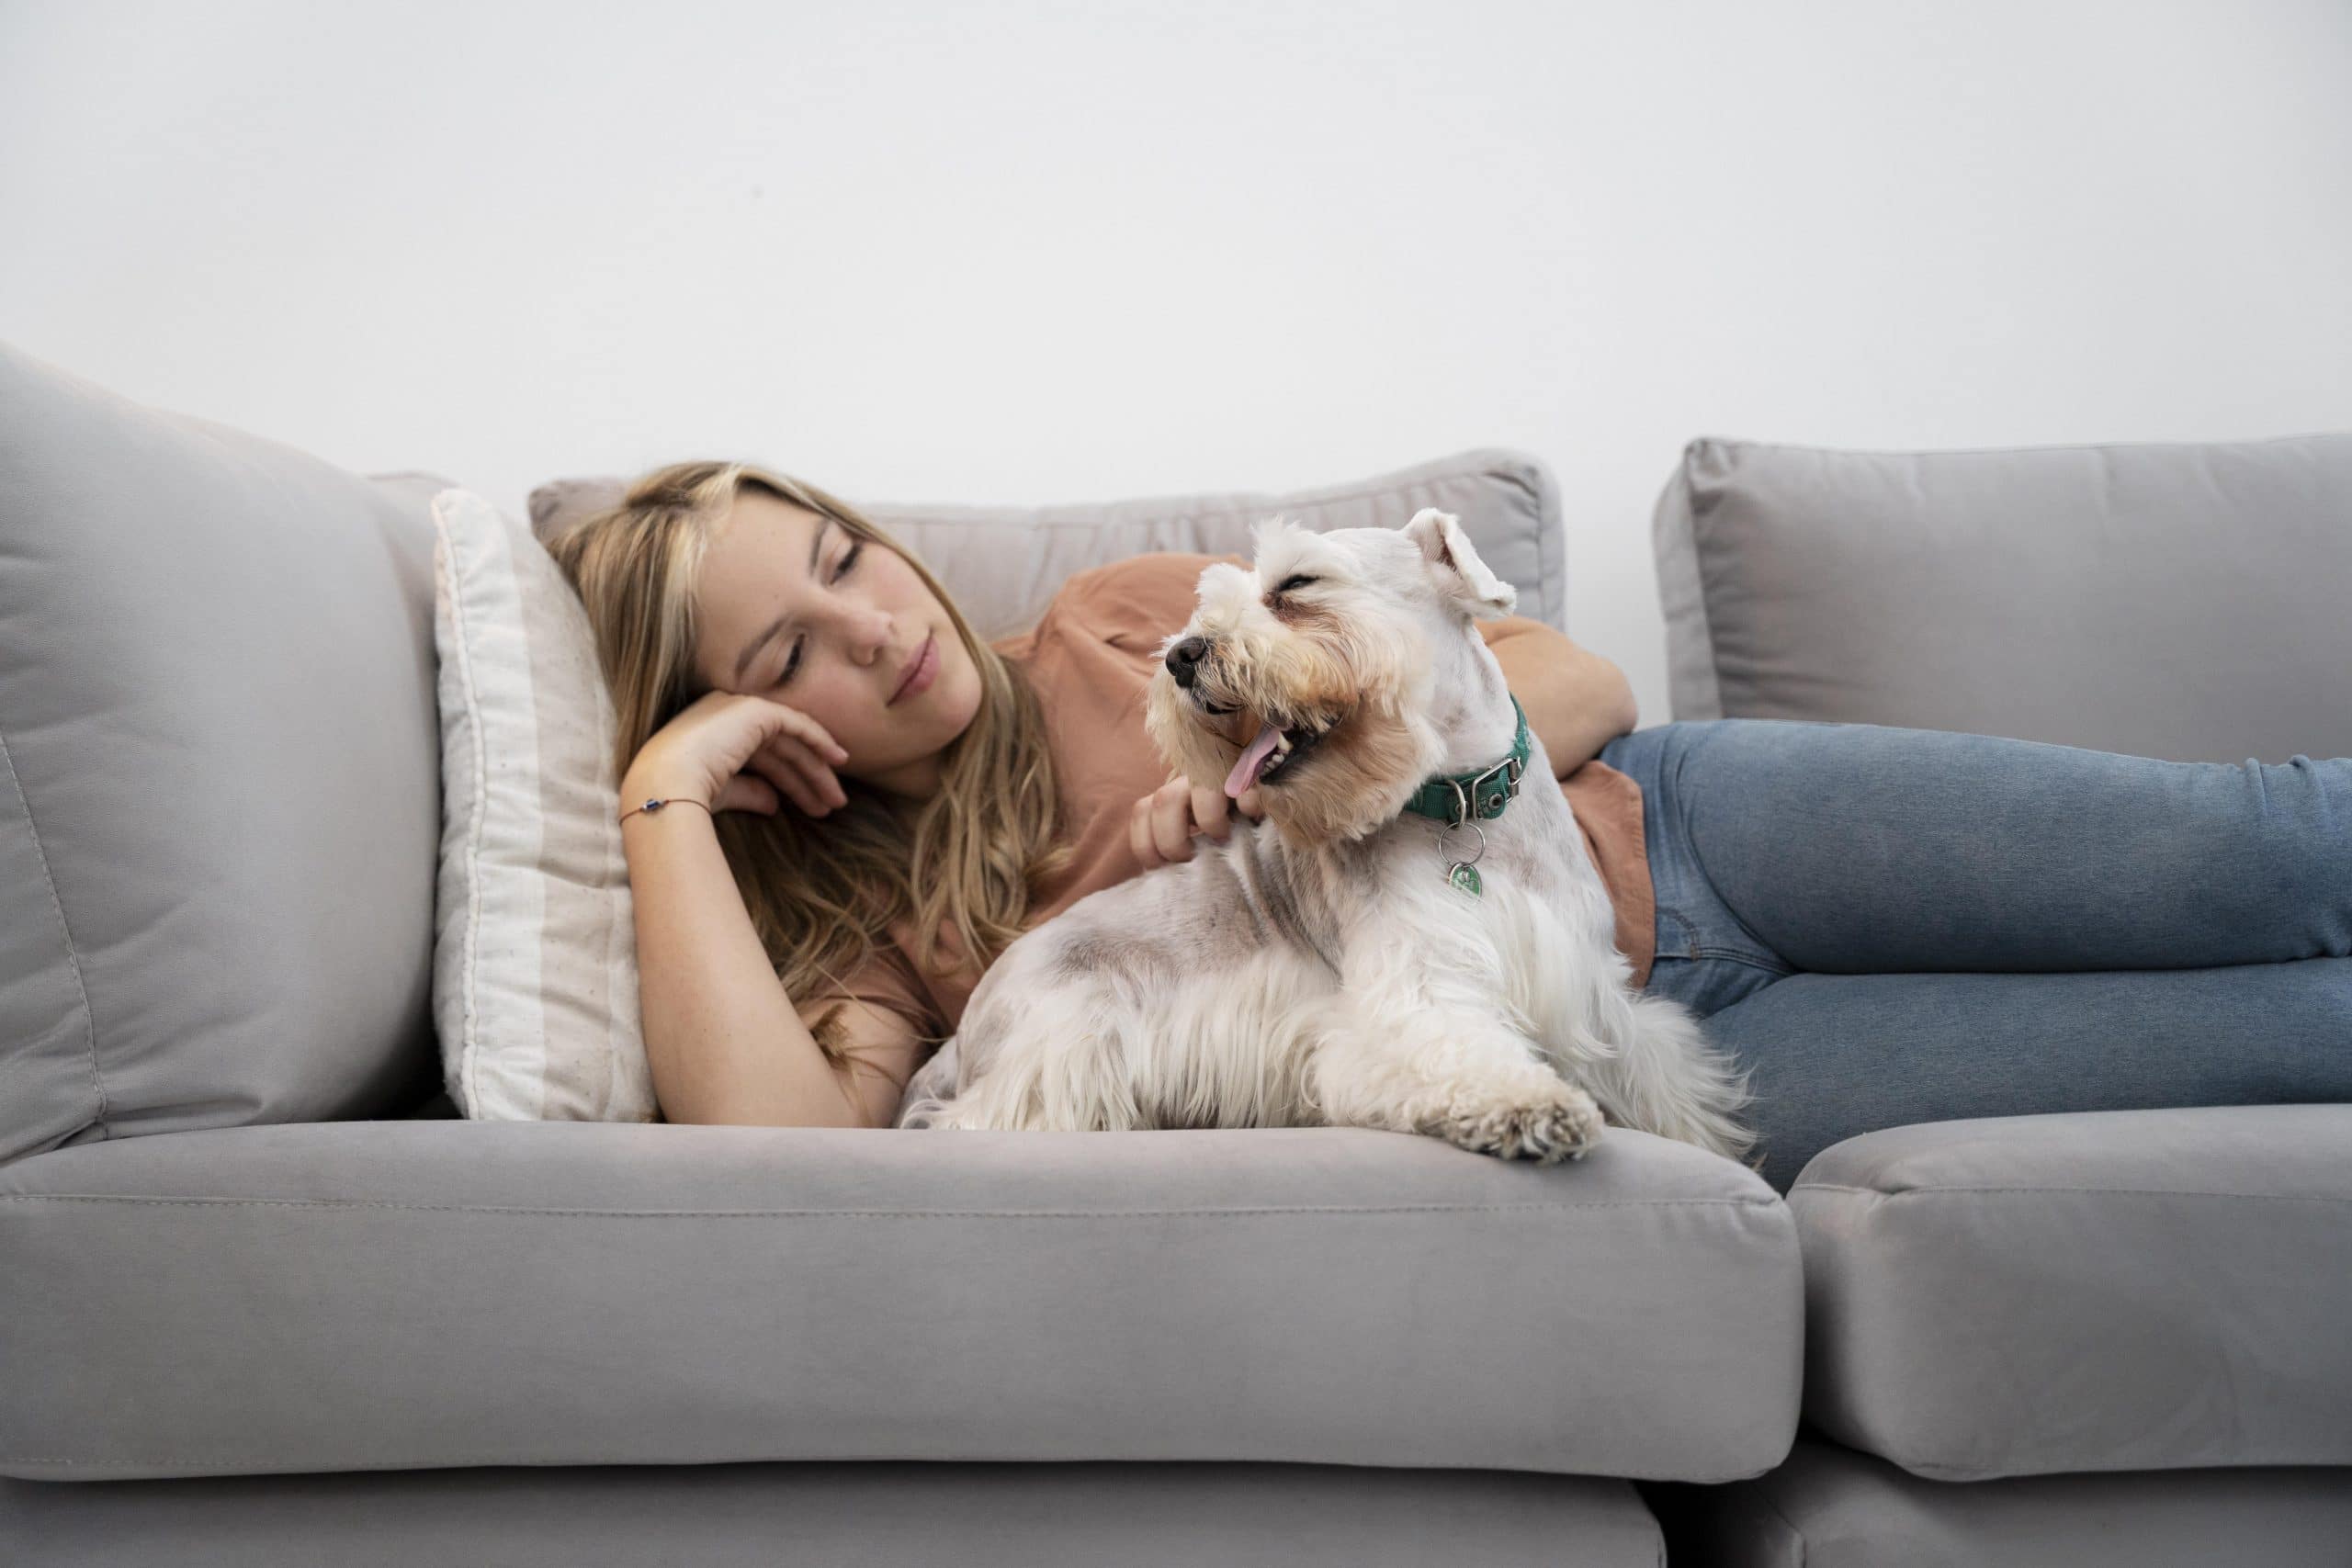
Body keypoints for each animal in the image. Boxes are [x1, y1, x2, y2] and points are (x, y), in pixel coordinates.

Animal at [888, 505, 1758, 1166]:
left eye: (1298, 584)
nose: (1182, 655)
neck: (1466, 809)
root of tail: (964, 1034)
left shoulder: (1594, 994)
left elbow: (1655, 1072)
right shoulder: (1412, 995)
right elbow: (1457, 1052)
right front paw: (1534, 1106)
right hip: (1061, 1049)